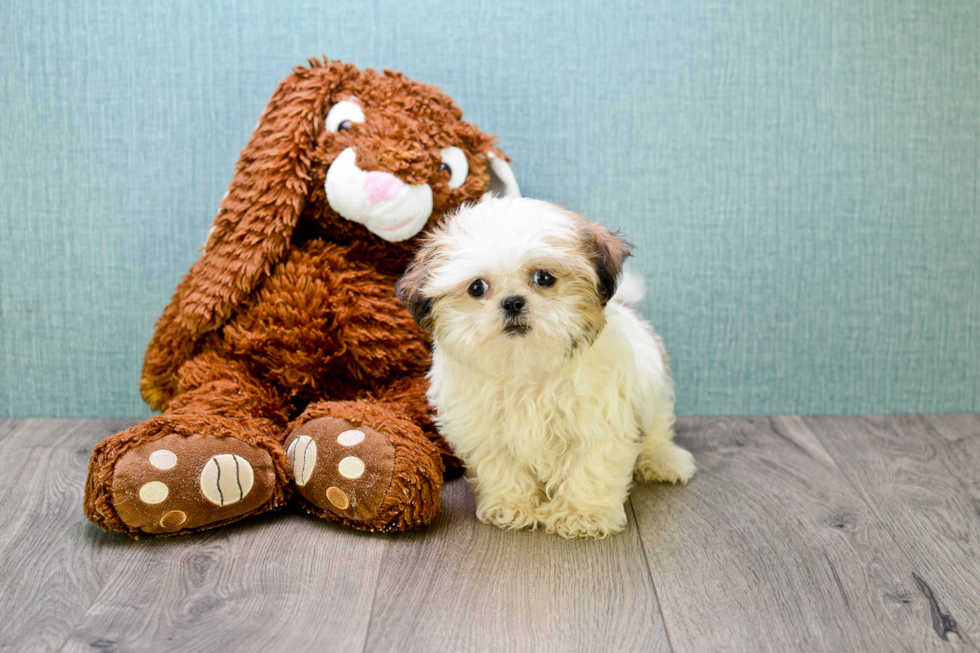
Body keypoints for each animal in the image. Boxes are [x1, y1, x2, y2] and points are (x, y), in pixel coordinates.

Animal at [394, 195, 692, 540]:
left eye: (544, 278)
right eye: (477, 288)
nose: (512, 302)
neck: (526, 366)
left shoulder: (598, 425)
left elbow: (590, 468)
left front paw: (582, 514)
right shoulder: (486, 429)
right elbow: (502, 468)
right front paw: (512, 506)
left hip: (656, 393)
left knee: (658, 430)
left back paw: (663, 459)